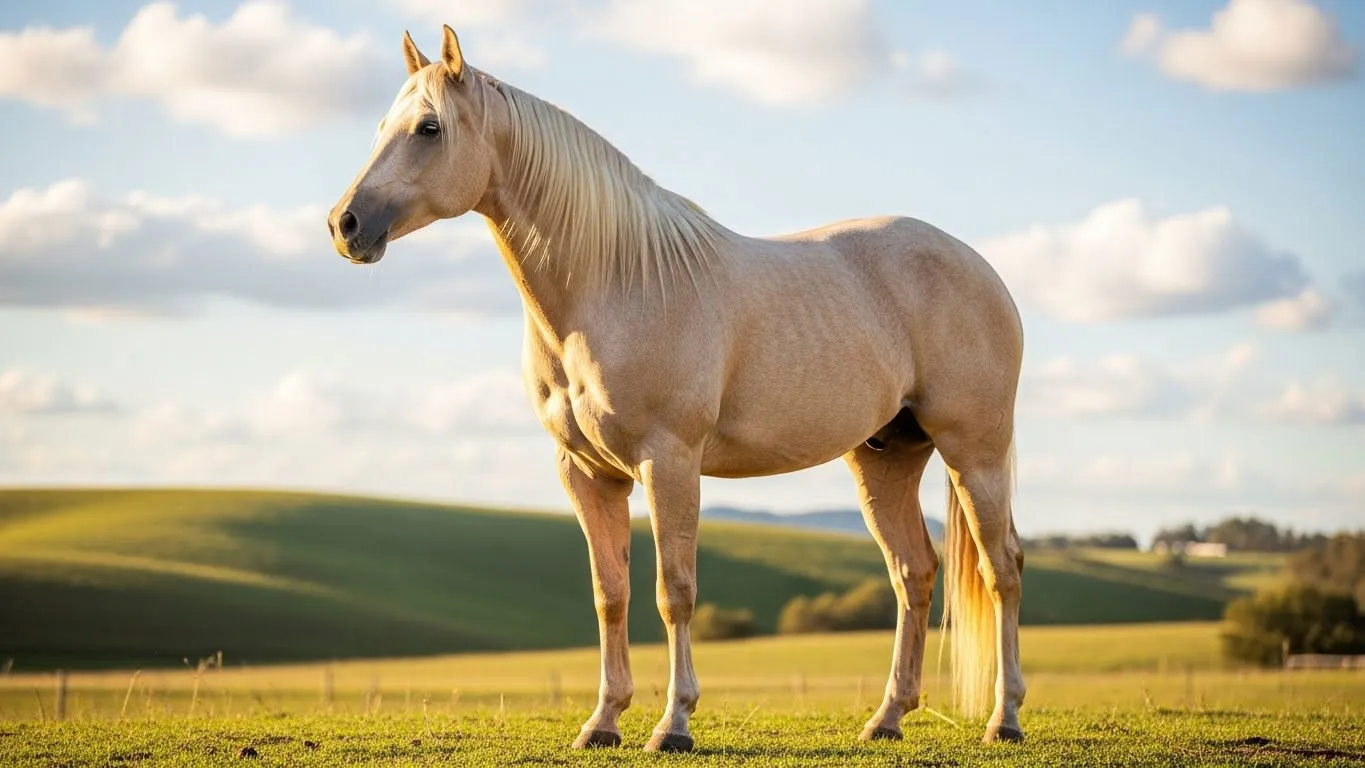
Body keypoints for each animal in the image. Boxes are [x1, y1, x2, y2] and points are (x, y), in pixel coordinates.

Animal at [329, 25, 1026, 752]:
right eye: (382, 126)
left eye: (429, 128)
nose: (345, 225)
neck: (612, 284)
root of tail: (980, 267)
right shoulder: (587, 473)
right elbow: (610, 594)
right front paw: (602, 721)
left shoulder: (668, 462)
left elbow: (674, 592)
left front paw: (673, 723)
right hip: (884, 458)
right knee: (913, 572)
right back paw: (887, 717)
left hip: (973, 451)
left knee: (1001, 569)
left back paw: (1003, 718)